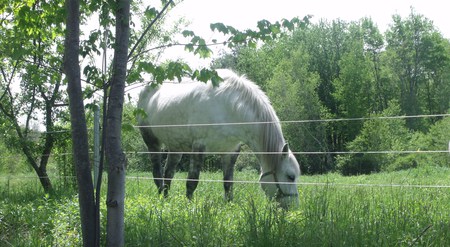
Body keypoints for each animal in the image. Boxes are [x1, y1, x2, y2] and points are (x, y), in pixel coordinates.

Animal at [135, 69, 300, 208]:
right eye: (290, 176)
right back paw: (161, 200)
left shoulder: (230, 151)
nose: (294, 207)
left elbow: (228, 182)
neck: (229, 105)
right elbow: (192, 181)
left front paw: (229, 206)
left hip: (176, 147)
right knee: (158, 175)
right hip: (152, 142)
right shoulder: (198, 146)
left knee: (168, 175)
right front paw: (189, 207)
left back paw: (166, 199)